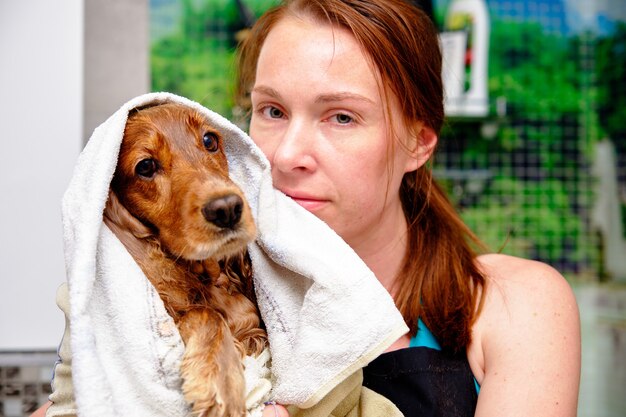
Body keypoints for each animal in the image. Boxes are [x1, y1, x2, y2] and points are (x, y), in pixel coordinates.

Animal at [102, 102, 266, 416]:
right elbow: (206, 314)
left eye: (210, 140)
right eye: (145, 166)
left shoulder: (255, 329)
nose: (227, 209)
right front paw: (222, 387)